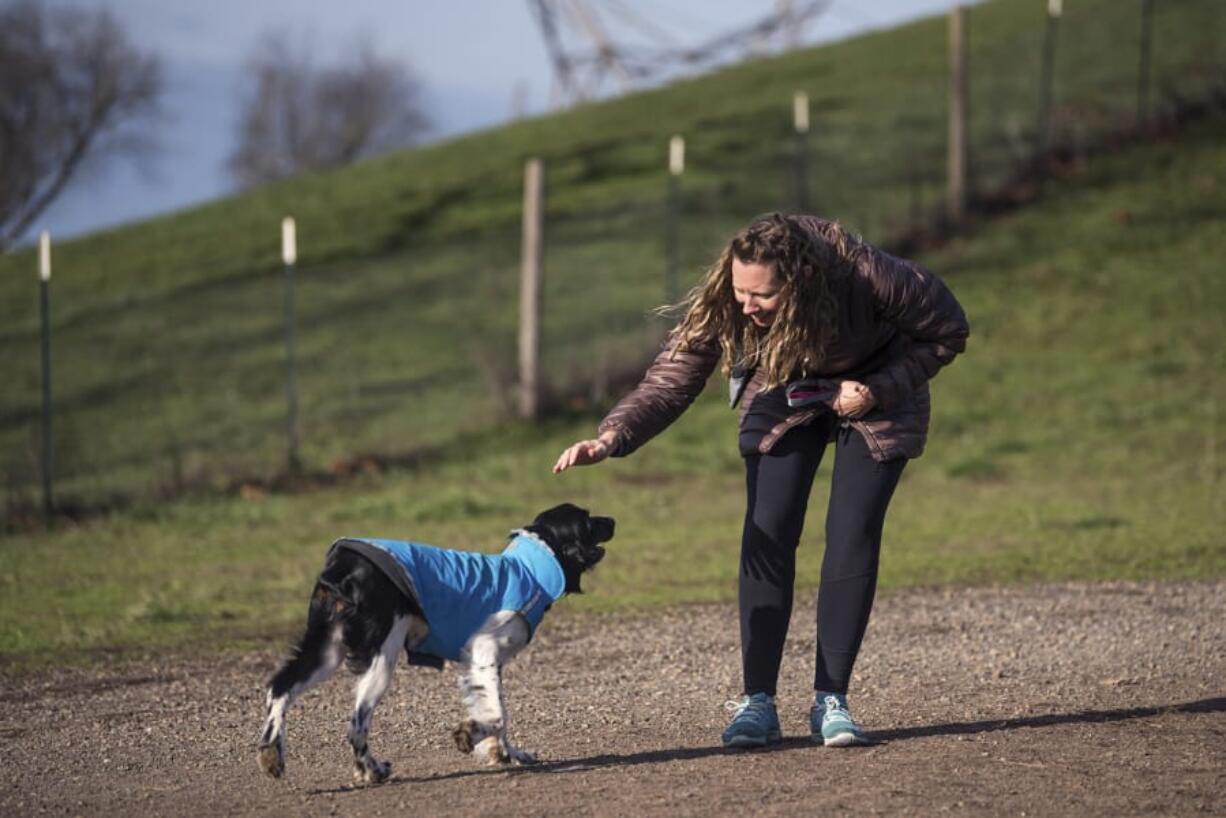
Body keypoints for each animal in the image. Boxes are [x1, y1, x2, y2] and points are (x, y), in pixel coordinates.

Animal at [255, 502, 613, 784]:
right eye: (587, 519)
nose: (612, 520)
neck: (529, 569)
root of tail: (342, 564)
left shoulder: (480, 662)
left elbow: (494, 711)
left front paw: (506, 752)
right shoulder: (484, 649)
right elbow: (499, 714)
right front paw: (470, 735)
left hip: (326, 651)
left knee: (280, 689)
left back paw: (272, 754)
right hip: (381, 658)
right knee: (356, 724)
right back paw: (372, 770)